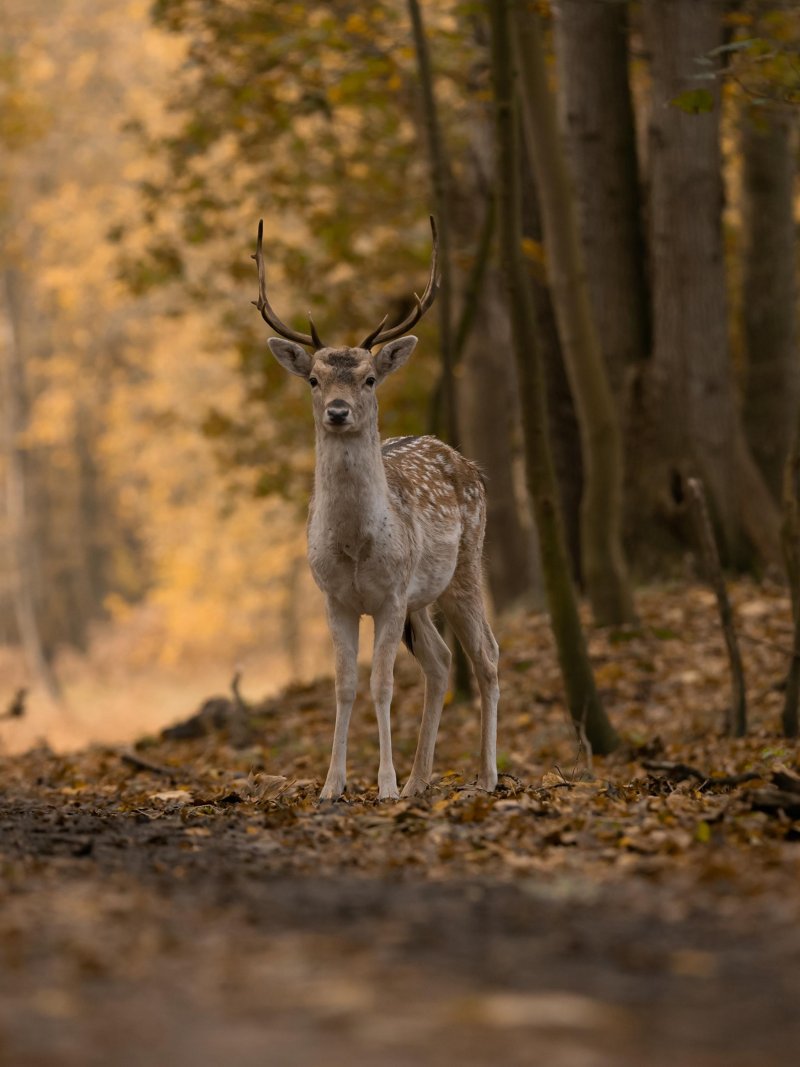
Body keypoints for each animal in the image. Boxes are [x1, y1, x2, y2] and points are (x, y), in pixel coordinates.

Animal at [253, 216, 499, 802]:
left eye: (368, 378)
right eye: (314, 379)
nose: (339, 411)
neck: (355, 547)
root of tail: (466, 461)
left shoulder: (389, 595)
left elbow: (382, 683)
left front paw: (382, 785)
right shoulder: (334, 597)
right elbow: (345, 685)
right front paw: (332, 785)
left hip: (466, 567)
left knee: (486, 656)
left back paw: (485, 775)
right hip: (422, 598)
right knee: (441, 661)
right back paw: (419, 781)